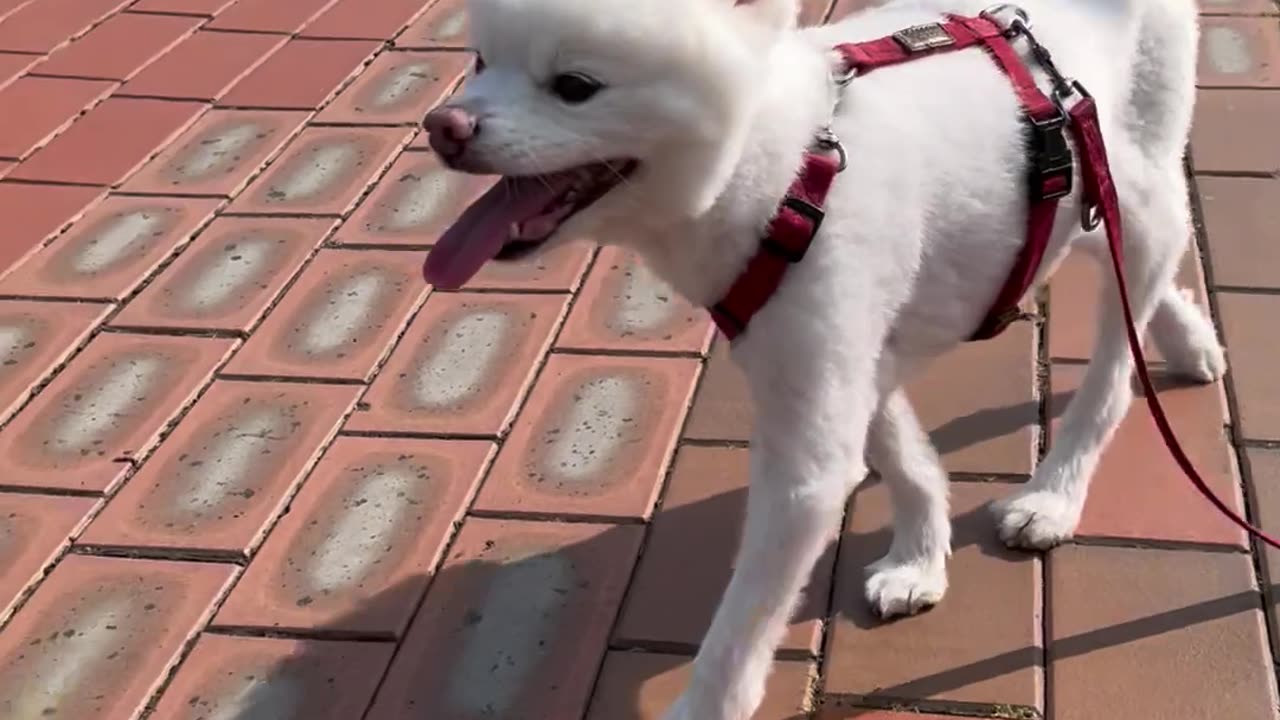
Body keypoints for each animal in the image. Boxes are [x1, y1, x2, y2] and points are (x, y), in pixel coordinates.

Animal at [419, 0, 1218, 712]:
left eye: (575, 86)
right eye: (480, 63)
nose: (443, 126)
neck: (785, 172)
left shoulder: (807, 446)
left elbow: (738, 632)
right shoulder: (849, 359)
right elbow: (904, 455)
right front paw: (920, 557)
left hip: (1138, 197)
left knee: (1115, 364)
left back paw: (1056, 492)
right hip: (1083, 205)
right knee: (1120, 264)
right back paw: (1192, 339)